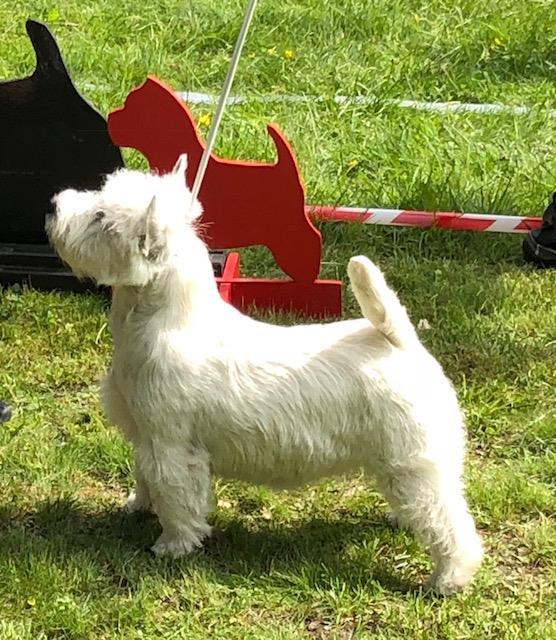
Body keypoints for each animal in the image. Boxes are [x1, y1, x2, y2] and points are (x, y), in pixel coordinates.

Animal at [46, 156, 482, 596]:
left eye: (101, 217)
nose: (53, 205)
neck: (161, 321)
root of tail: (399, 341)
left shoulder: (170, 443)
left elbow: (176, 496)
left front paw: (173, 545)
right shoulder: (144, 433)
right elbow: (144, 476)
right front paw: (137, 506)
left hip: (412, 459)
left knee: (449, 522)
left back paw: (447, 579)